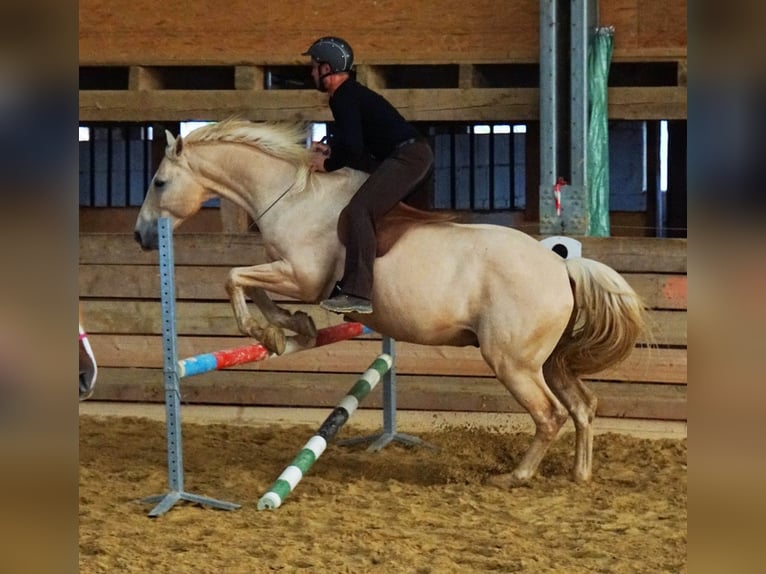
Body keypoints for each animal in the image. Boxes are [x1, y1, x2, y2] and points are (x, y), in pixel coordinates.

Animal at [136, 121, 648, 490]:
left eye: (159, 182)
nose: (142, 236)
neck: (294, 198)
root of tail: (561, 267)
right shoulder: (292, 275)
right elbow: (254, 286)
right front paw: (292, 326)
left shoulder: (303, 276)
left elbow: (234, 278)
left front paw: (267, 331)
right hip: (551, 360)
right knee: (583, 406)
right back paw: (580, 475)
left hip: (513, 363)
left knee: (550, 415)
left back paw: (515, 476)